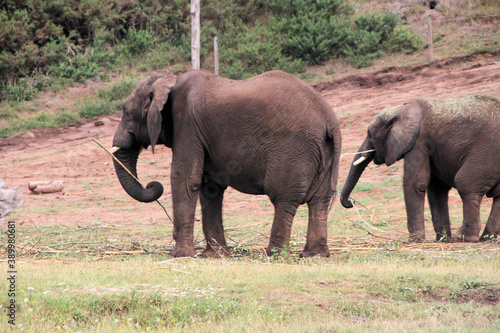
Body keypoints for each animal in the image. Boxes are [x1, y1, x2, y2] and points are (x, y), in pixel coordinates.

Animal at [111, 70, 342, 256]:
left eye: (125, 112)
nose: (152, 184)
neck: (168, 80)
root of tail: (329, 119)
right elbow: (210, 187)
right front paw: (215, 255)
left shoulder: (186, 125)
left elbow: (184, 178)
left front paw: (180, 255)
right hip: (324, 152)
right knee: (320, 201)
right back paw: (314, 255)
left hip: (293, 151)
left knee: (284, 199)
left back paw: (274, 254)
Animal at [340, 94, 500, 243]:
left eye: (370, 134)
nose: (351, 203)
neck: (402, 109)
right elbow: (436, 189)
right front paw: (441, 240)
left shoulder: (418, 141)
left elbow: (415, 183)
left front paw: (415, 241)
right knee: (497, 196)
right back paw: (488, 238)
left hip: (486, 155)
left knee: (466, 185)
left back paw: (464, 238)